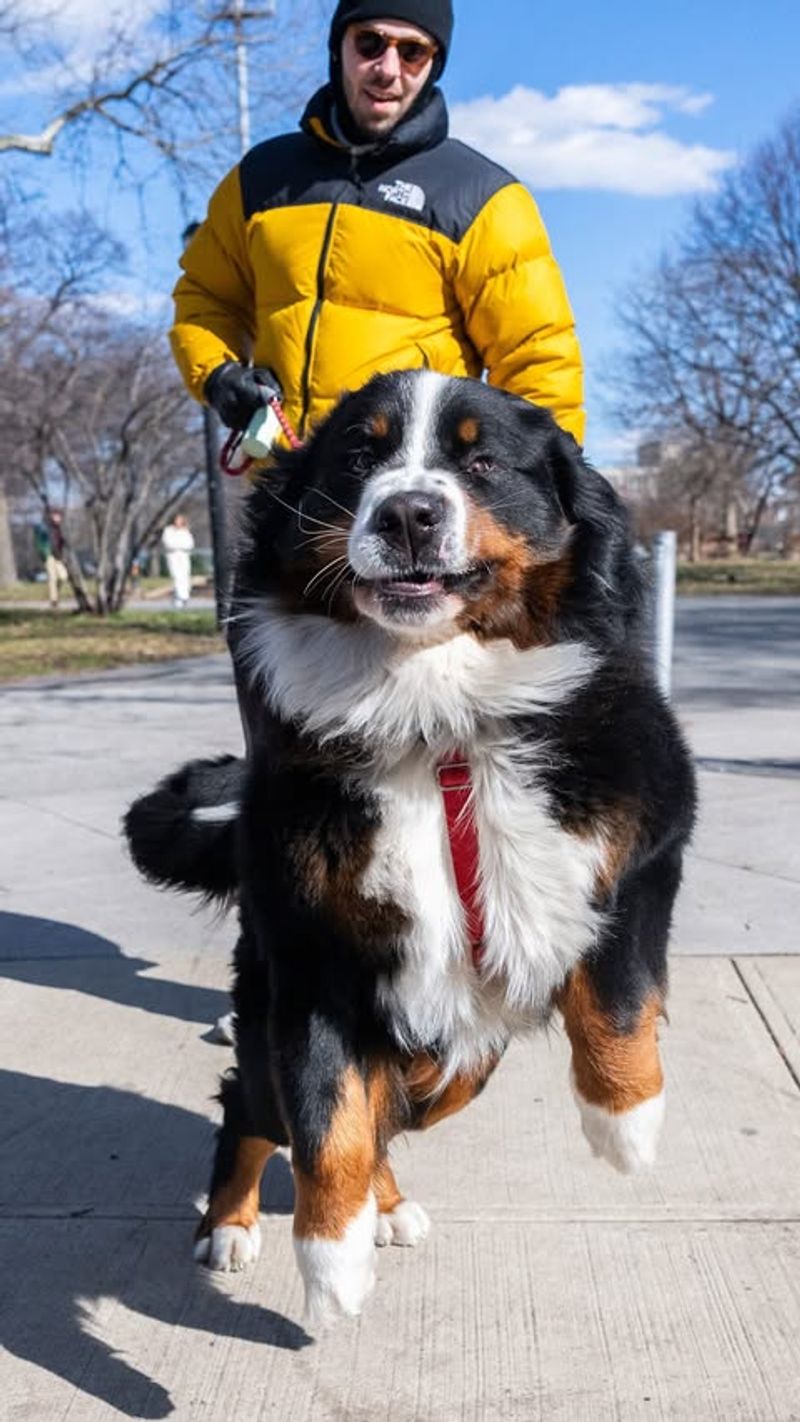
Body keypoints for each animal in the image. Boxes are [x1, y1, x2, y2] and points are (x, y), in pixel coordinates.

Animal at [123, 372, 696, 1325]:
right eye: (359, 458)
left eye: (482, 462)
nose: (408, 514)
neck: (438, 719)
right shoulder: (314, 951)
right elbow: (329, 1121)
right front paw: (329, 1259)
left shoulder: (645, 837)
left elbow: (619, 995)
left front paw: (627, 1124)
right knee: (259, 1107)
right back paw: (232, 1223)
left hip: (454, 1038)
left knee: (408, 1093)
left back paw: (385, 1203)